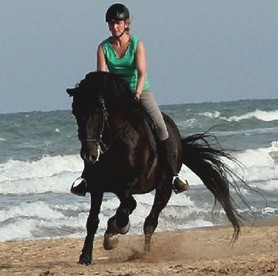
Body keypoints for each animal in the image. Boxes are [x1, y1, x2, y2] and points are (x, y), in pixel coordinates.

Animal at [67, 71, 245, 266]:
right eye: (75, 112)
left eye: (98, 111)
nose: (89, 155)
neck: (118, 141)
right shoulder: (98, 186)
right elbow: (93, 220)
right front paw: (86, 256)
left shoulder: (129, 184)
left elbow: (127, 209)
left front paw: (113, 234)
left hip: (164, 188)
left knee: (150, 222)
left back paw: (145, 253)